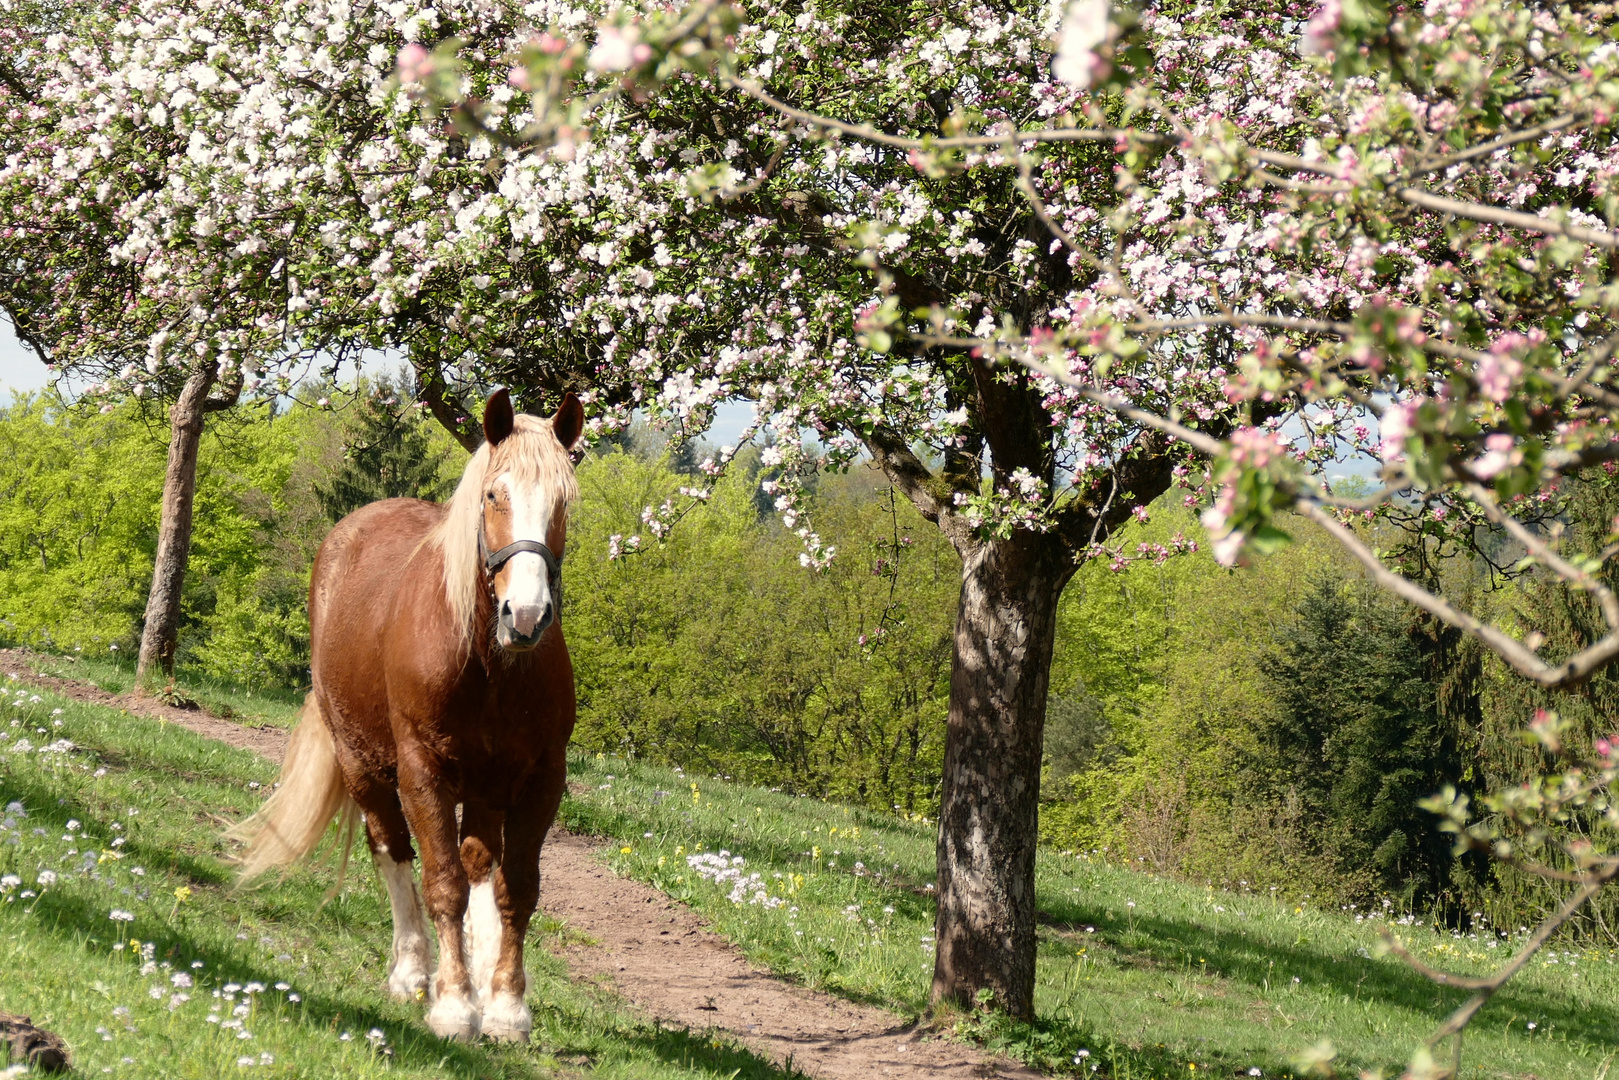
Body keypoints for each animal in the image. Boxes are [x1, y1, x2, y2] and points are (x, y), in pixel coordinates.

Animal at [228, 388, 582, 1036]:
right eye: (493, 495)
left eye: (563, 501)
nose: (526, 615)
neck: (486, 661)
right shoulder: (422, 772)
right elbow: (441, 883)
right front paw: (453, 1004)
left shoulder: (541, 779)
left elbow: (515, 886)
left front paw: (505, 1004)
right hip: (363, 764)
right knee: (390, 847)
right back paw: (415, 971)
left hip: (485, 785)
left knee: (478, 865)